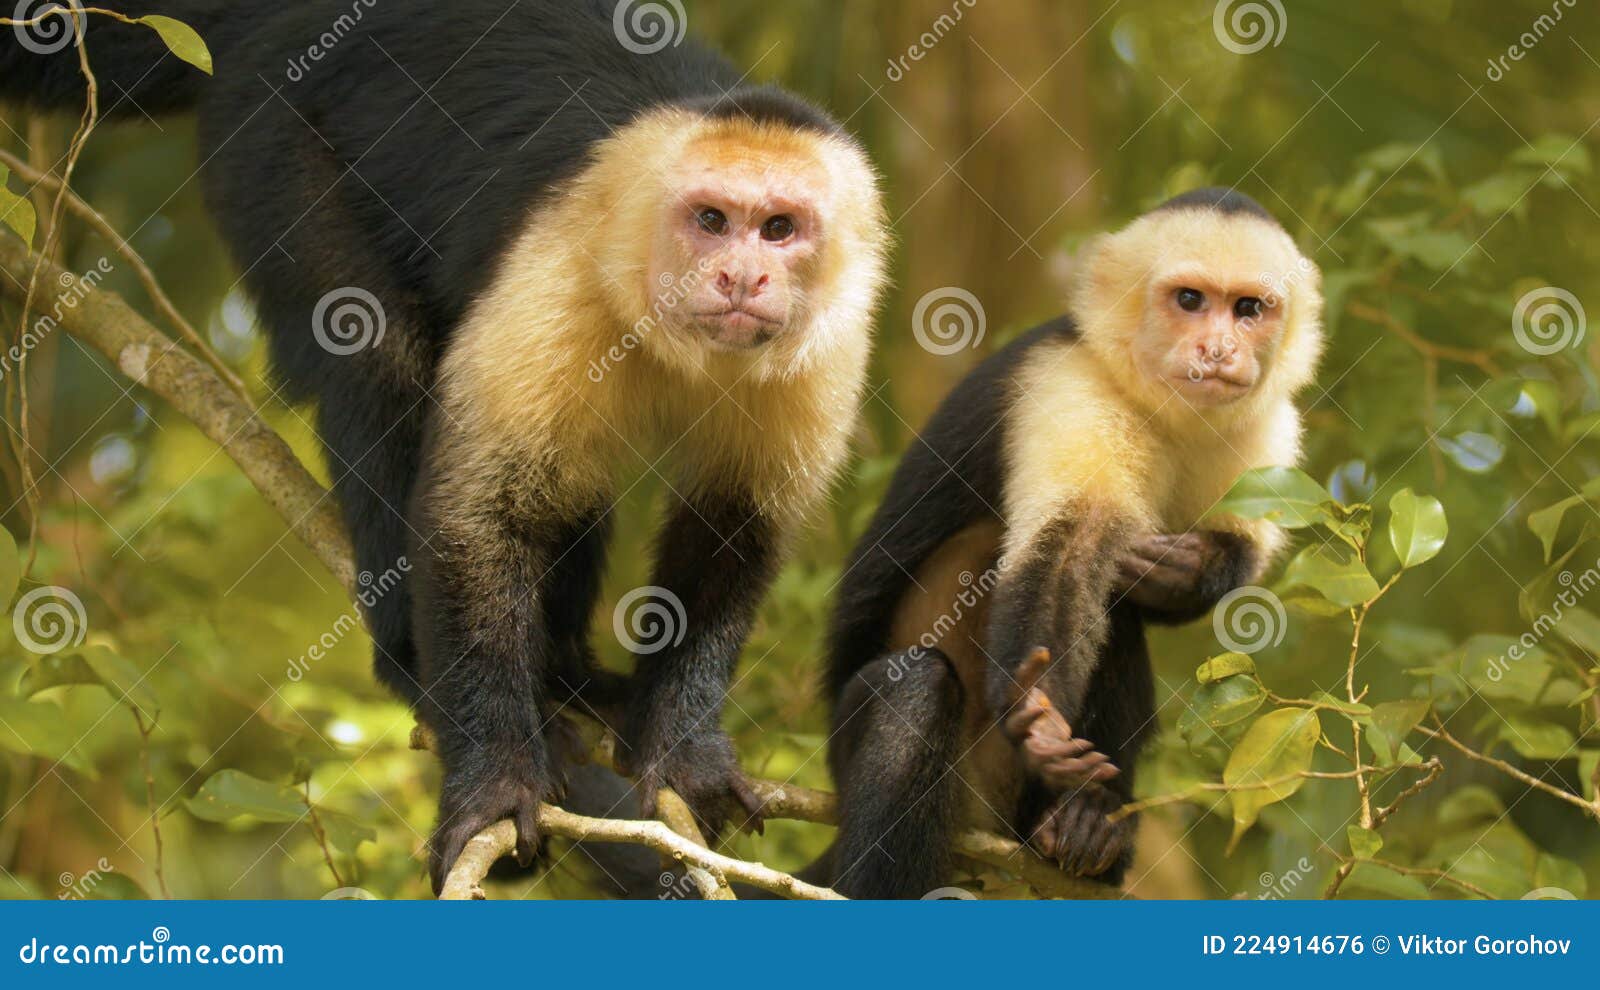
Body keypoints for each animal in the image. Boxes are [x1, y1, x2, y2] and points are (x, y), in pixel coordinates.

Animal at [0, 0, 889, 895]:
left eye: (779, 229)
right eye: (711, 220)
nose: (742, 277)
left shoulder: (829, 343)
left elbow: (734, 528)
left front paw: (681, 746)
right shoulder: (562, 265)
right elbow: (477, 515)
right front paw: (493, 783)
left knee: (573, 477)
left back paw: (569, 678)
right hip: (268, 138)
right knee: (375, 356)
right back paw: (411, 658)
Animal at [819, 189, 1318, 902]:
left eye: (1249, 309)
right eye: (1190, 299)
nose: (1220, 347)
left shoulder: (1269, 425)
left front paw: (1185, 569)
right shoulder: (1067, 381)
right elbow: (1067, 550)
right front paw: (1041, 716)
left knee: (1115, 612)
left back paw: (1079, 826)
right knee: (919, 685)